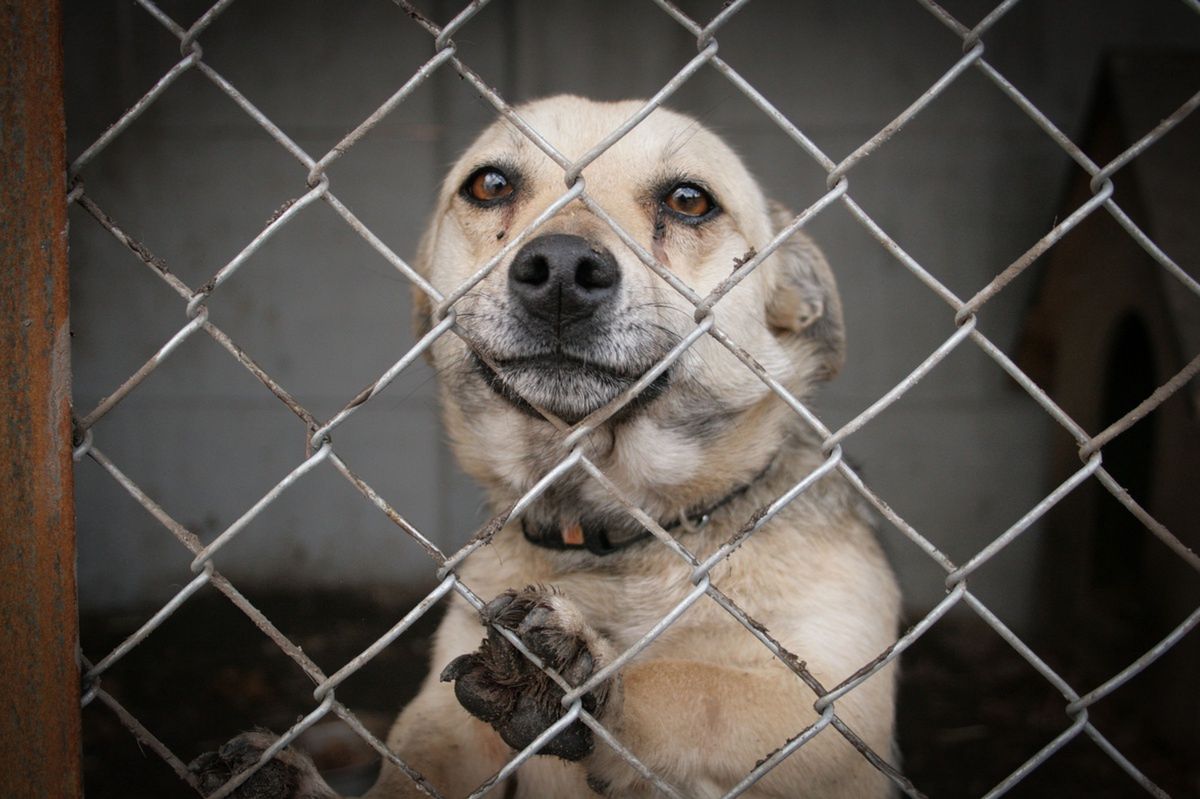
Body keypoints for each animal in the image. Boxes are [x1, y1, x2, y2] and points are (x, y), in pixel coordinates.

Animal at [189, 94, 902, 796]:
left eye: (689, 200)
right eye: (491, 185)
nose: (561, 270)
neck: (610, 533)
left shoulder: (837, 710)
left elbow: (698, 688)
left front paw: (587, 681)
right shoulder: (444, 720)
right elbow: (415, 762)